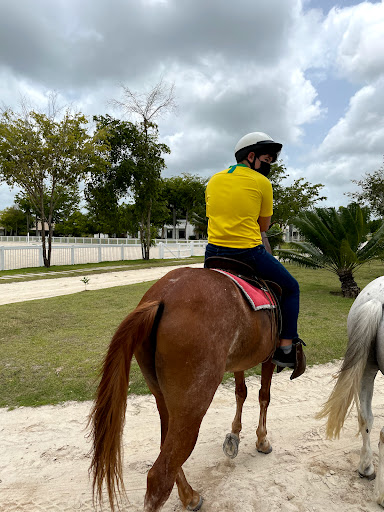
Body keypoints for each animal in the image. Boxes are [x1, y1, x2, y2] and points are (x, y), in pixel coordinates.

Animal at [88, 266, 278, 510]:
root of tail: (161, 297)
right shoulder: (270, 356)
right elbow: (264, 396)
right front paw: (262, 440)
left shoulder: (240, 361)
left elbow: (241, 392)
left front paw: (234, 435)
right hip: (192, 407)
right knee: (159, 478)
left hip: (166, 401)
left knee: (167, 450)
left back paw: (189, 496)